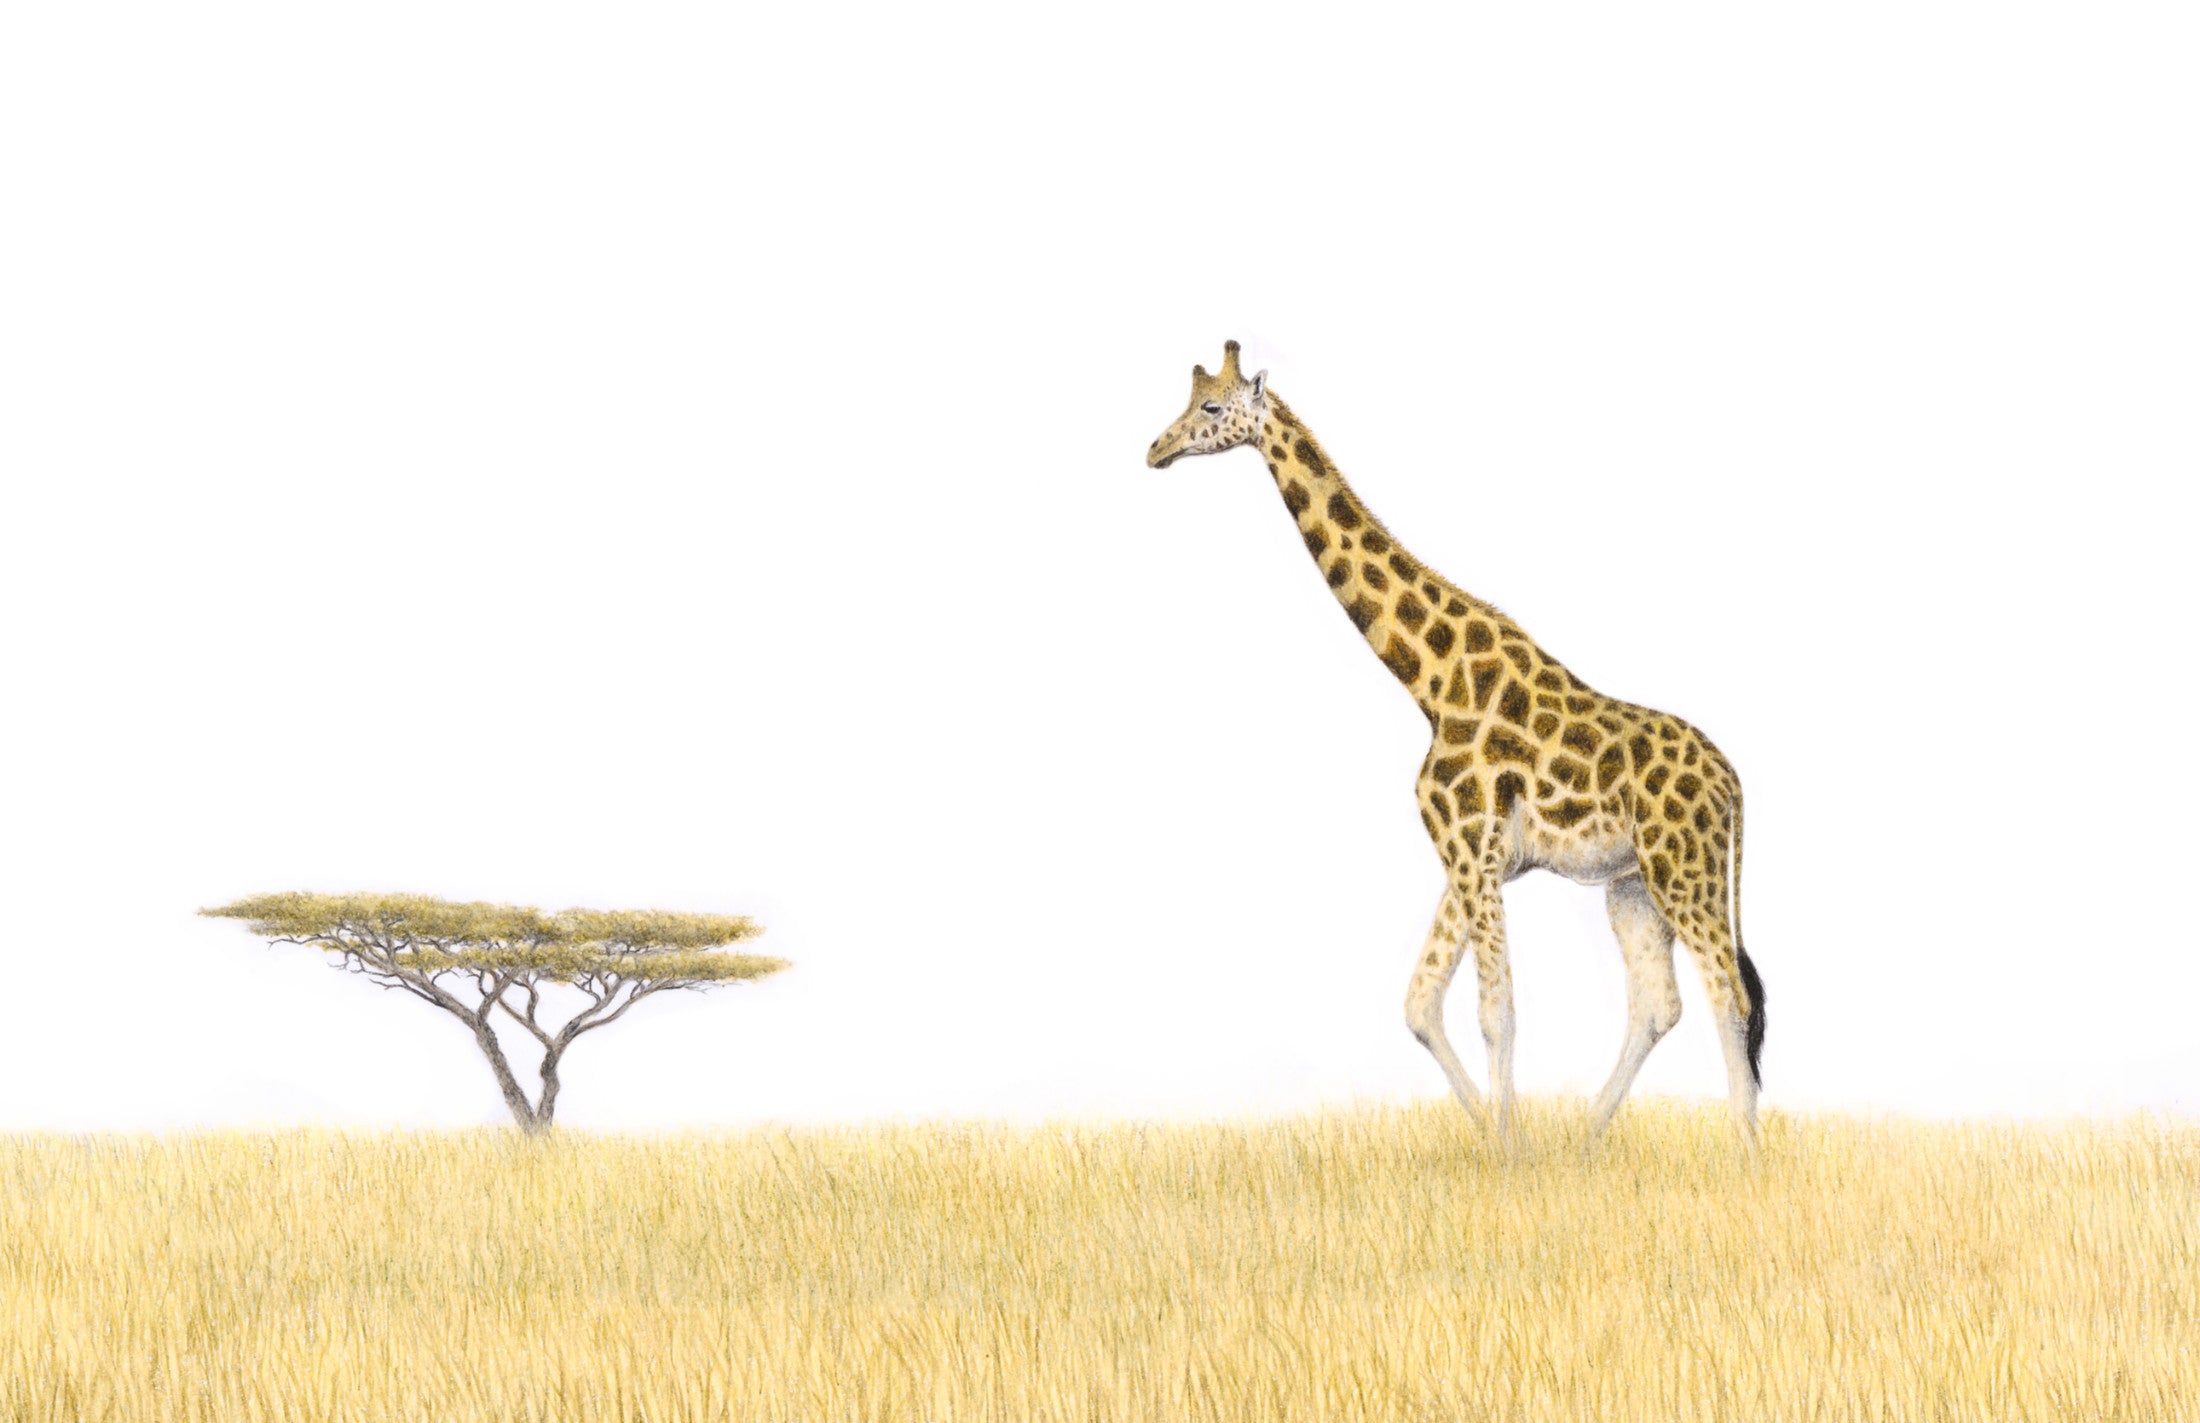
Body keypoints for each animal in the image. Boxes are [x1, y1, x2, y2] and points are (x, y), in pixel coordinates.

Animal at [1144, 341, 1766, 1141]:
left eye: (1212, 408)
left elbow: (1495, 1010)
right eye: (1188, 402)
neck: (1433, 684)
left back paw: (1744, 1149)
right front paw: (1498, 1136)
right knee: (1662, 1003)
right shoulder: (1470, 857)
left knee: (1729, 991)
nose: (1155, 449)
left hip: (1683, 869)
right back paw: (1586, 1137)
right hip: (1634, 886)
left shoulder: (1471, 849)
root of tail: (1732, 779)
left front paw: (1507, 1146)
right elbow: (1421, 1003)